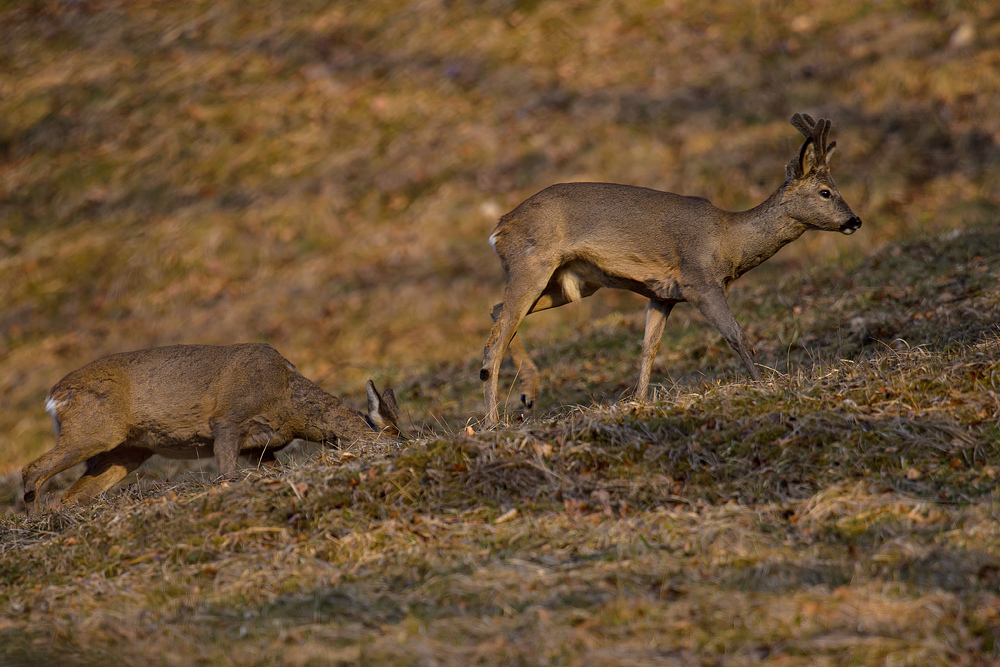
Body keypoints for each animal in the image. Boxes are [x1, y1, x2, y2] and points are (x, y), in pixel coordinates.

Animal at [20, 342, 402, 516]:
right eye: (392, 441)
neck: (285, 400)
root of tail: (54, 397)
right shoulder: (228, 419)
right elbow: (227, 471)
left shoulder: (259, 448)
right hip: (95, 430)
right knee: (32, 469)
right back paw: (33, 514)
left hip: (127, 451)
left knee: (73, 494)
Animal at [480, 112, 864, 426]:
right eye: (826, 191)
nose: (855, 221)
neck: (730, 241)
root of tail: (499, 229)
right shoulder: (701, 283)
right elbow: (737, 336)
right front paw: (765, 386)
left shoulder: (662, 295)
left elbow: (649, 349)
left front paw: (638, 402)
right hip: (533, 263)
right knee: (496, 339)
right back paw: (493, 421)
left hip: (573, 283)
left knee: (497, 311)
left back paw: (527, 395)